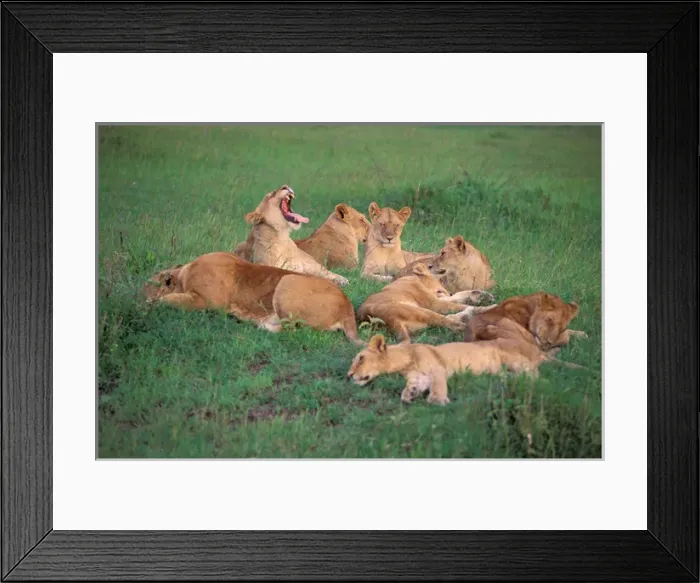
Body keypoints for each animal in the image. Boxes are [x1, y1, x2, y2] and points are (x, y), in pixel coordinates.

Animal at [145, 252, 364, 345]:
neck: (184, 273)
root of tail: (347, 304)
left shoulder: (204, 301)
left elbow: (168, 300)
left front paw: (149, 304)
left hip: (287, 281)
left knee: (292, 331)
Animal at [346, 333, 553, 406]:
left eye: (360, 358)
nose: (349, 376)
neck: (405, 361)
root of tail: (539, 351)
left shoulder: (437, 369)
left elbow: (439, 385)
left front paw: (437, 400)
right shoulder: (418, 376)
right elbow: (413, 386)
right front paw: (409, 394)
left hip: (510, 356)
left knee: (535, 374)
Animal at [357, 263, 491, 343]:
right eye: (440, 279)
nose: (448, 292)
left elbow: (458, 297)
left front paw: (481, 295)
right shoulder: (434, 303)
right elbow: (459, 304)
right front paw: (484, 305)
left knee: (450, 319)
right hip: (422, 311)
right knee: (452, 324)